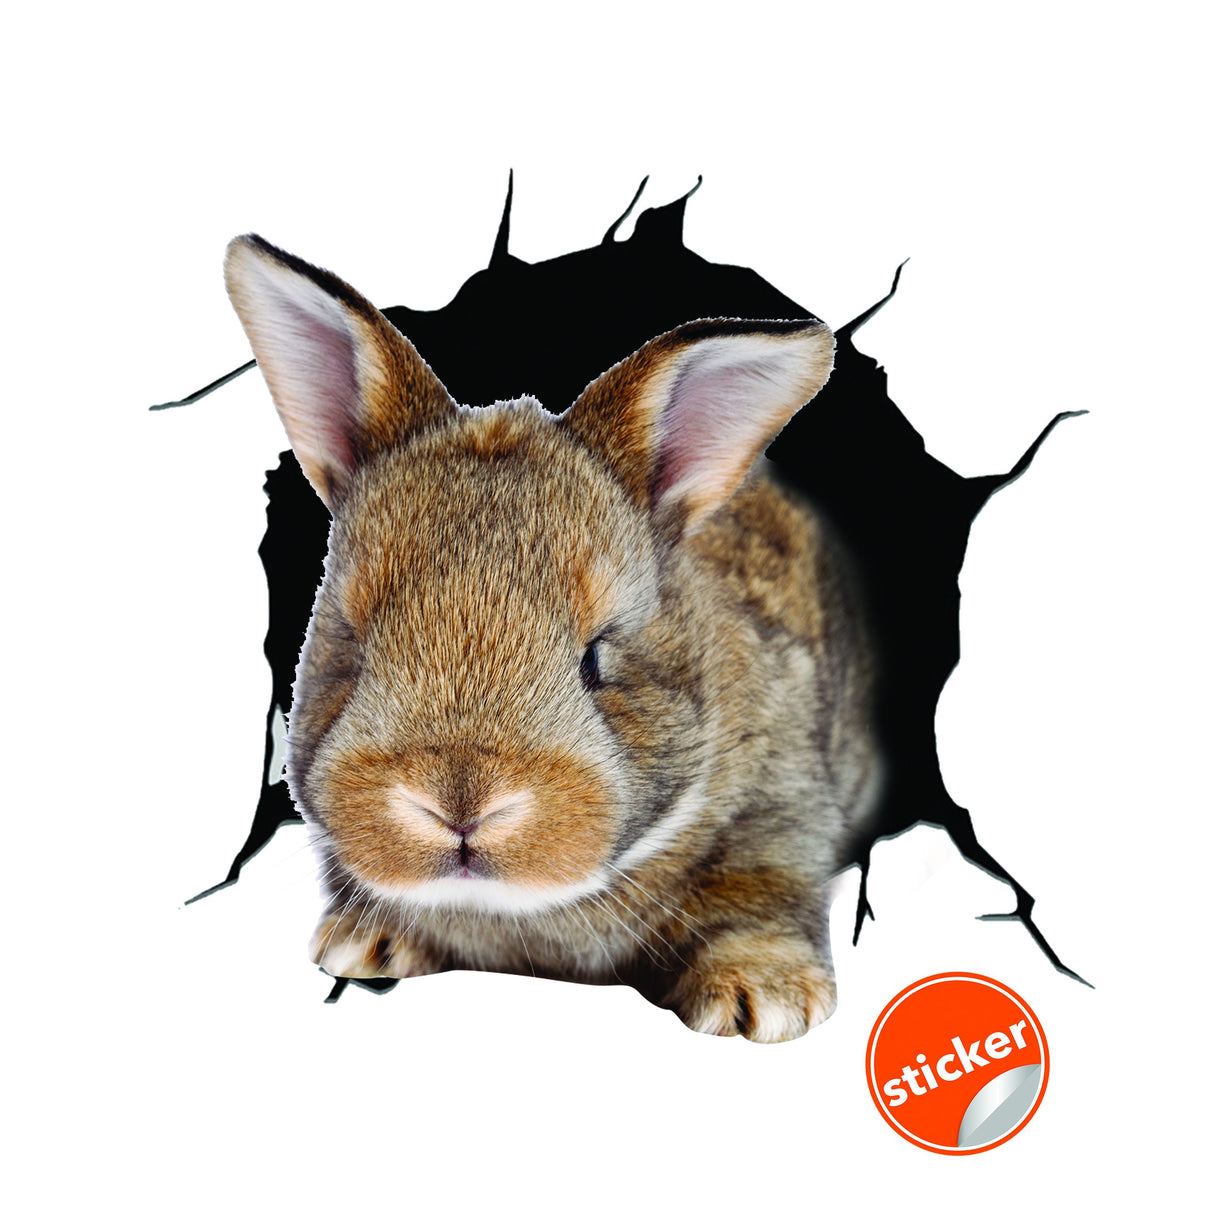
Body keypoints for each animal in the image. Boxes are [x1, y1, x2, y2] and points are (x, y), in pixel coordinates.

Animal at [223, 233, 880, 1042]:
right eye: (351, 641)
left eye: (596, 657)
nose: (461, 807)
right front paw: (365, 942)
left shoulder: (782, 807)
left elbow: (761, 889)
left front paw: (763, 1001)